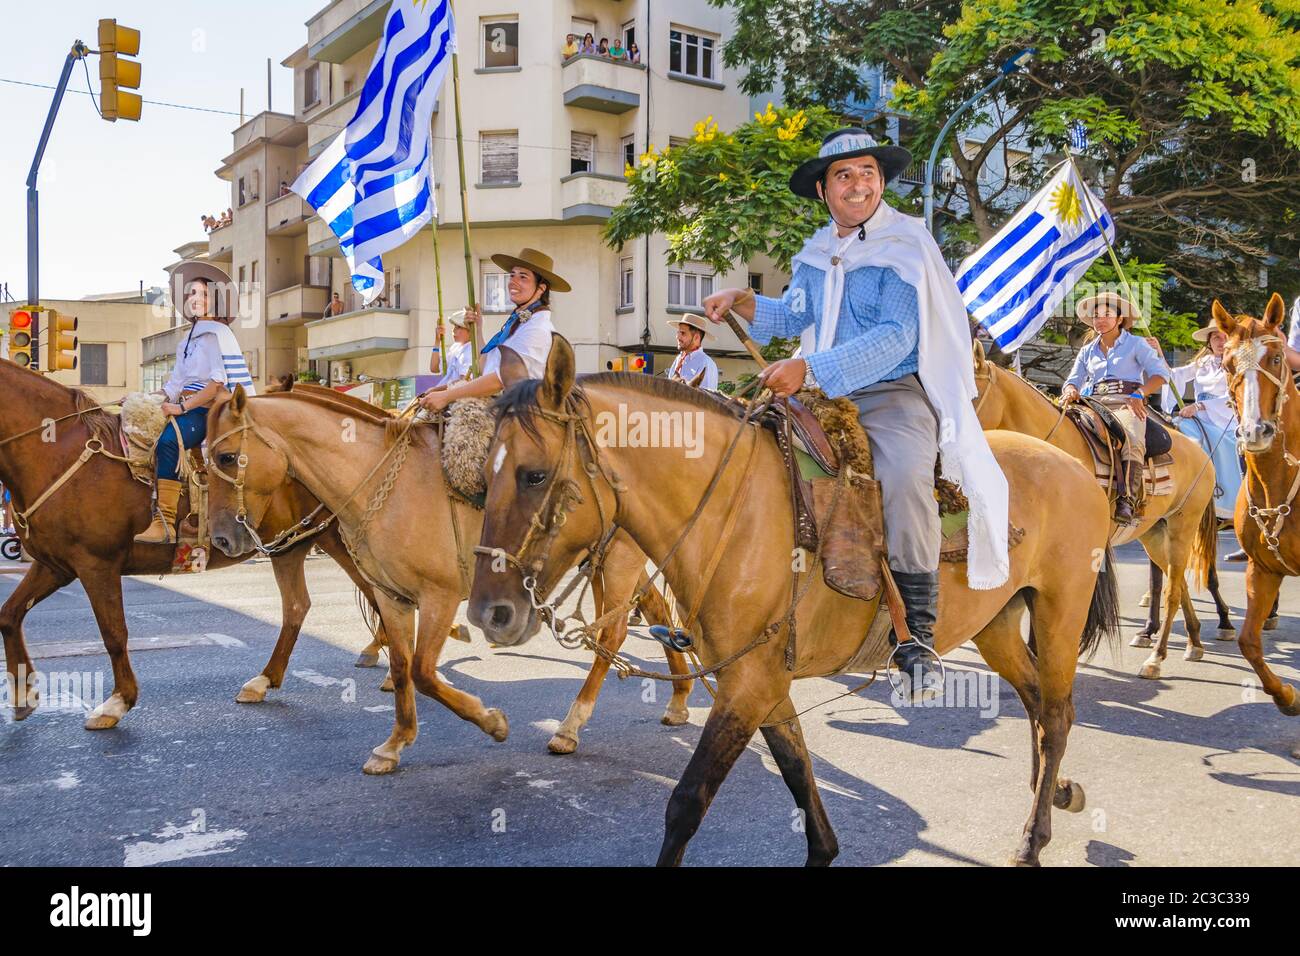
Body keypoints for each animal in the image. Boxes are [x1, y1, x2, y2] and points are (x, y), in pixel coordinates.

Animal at [0, 356, 384, 723]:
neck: (60, 454)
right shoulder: (55, 565)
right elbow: (9, 615)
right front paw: (23, 694)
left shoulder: (96, 564)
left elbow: (114, 633)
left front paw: (118, 702)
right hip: (290, 546)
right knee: (298, 607)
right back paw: (264, 680)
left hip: (339, 541)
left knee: (374, 594)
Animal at [202, 385, 691, 775]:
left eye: (226, 456)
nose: (221, 538)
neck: (385, 484)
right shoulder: (392, 596)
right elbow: (402, 668)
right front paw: (395, 743)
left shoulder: (438, 596)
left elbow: (423, 671)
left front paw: (491, 721)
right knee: (652, 613)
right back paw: (679, 697)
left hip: (619, 558)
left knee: (613, 631)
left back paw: (571, 725)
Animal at [470, 343, 1128, 868]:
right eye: (484, 475)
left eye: (533, 475)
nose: (487, 614)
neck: (732, 512)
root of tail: (1075, 467)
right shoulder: (762, 683)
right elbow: (802, 787)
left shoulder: (746, 687)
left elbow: (686, 803)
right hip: (997, 625)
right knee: (1039, 708)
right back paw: (1055, 792)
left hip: (1059, 611)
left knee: (1059, 714)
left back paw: (1031, 838)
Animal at [977, 343, 1216, 681]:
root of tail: (1201, 452)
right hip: (1155, 535)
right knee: (1177, 580)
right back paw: (1193, 641)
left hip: (1183, 527)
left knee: (1171, 590)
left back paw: (1157, 657)